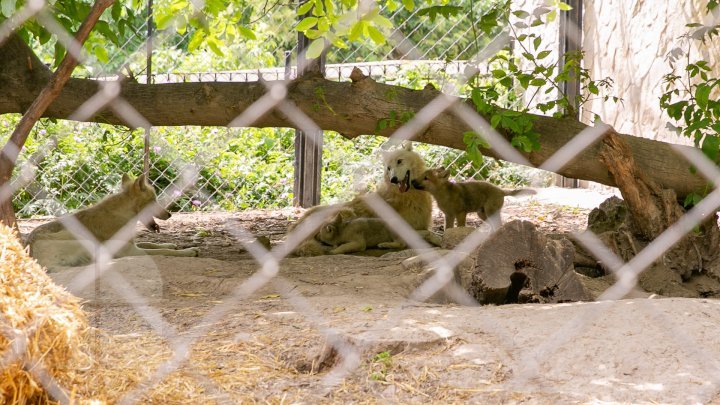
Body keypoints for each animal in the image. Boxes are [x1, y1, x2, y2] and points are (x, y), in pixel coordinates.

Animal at [26, 173, 198, 268]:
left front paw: (171, 244)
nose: (169, 215)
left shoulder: (133, 245)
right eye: (154, 201)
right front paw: (188, 251)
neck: (122, 215)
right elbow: (163, 251)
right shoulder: (132, 251)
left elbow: (153, 243)